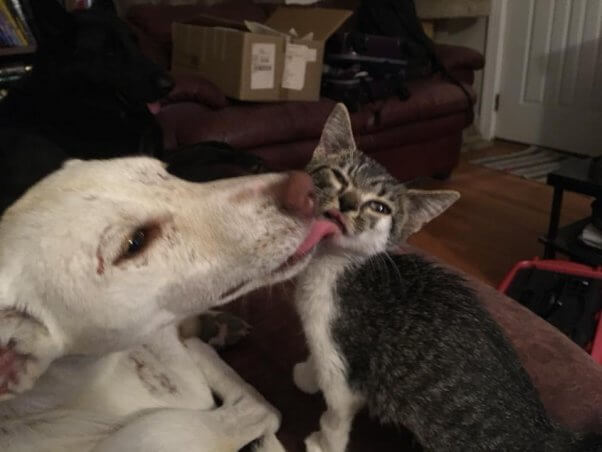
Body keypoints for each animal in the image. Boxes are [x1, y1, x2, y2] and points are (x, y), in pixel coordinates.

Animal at [292, 103, 600, 452]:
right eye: (338, 176)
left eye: (379, 208)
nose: (347, 203)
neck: (333, 264)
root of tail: (546, 433)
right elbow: (316, 361)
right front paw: (307, 374)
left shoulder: (344, 363)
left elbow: (336, 411)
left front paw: (323, 441)